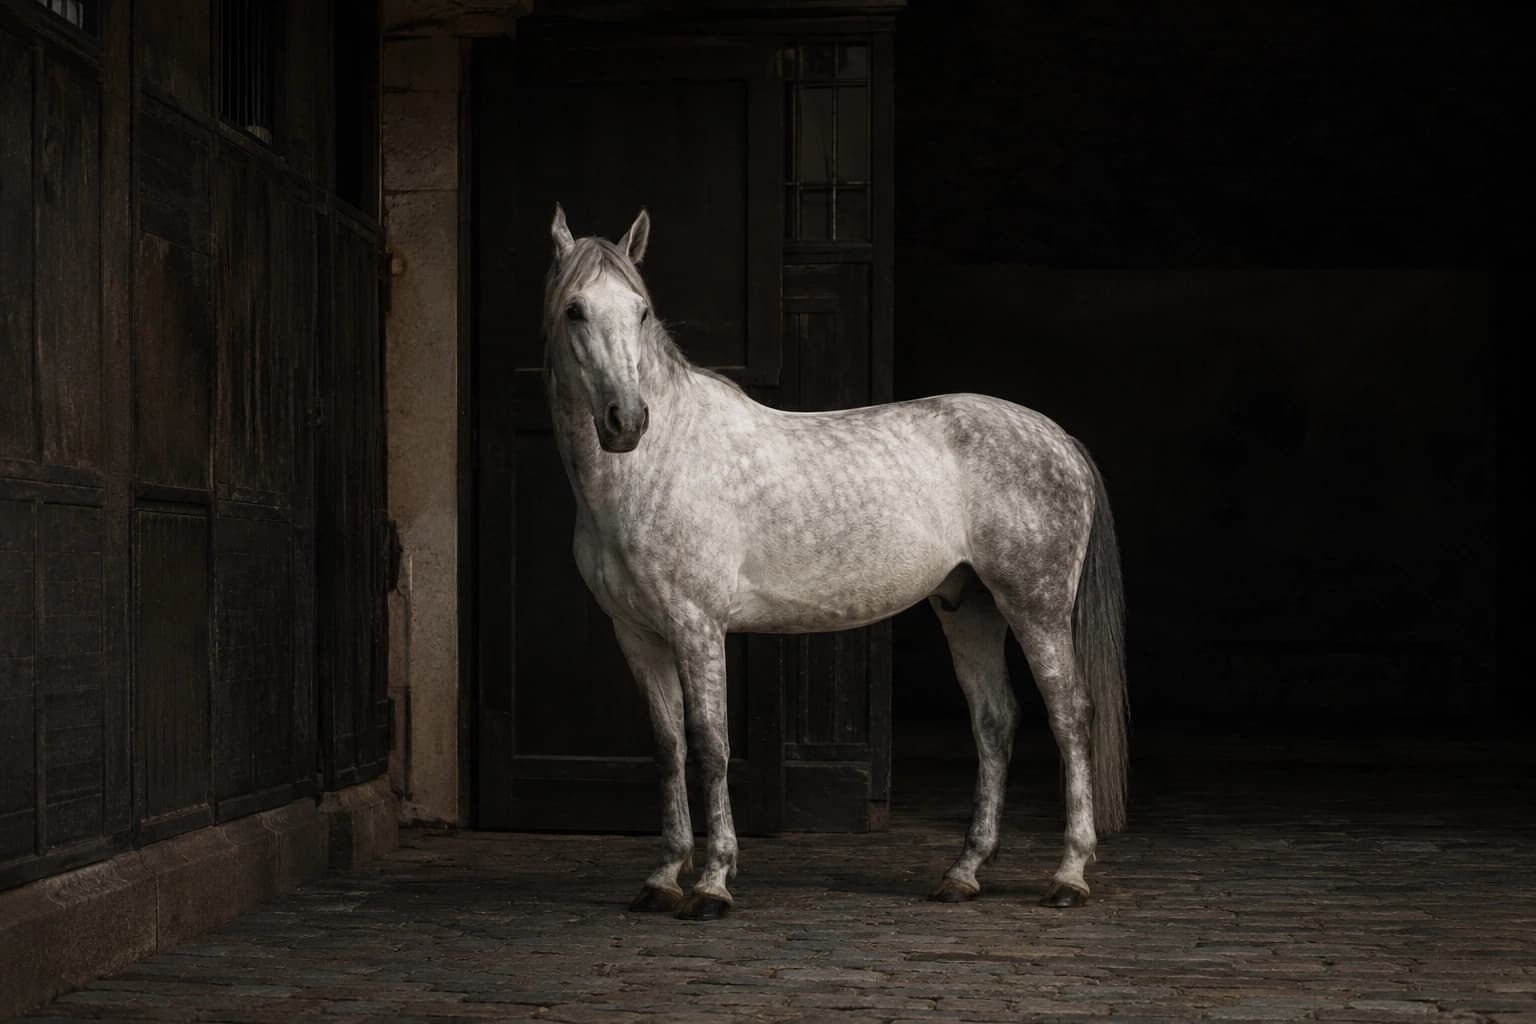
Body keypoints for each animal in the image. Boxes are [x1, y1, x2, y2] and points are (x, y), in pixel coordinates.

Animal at [542, 205, 1128, 920]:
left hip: (1035, 604)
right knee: (995, 722)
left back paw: (1069, 874)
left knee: (1070, 715)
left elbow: (710, 744)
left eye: (642, 311)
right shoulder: (637, 633)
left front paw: (712, 883)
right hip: (969, 606)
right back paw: (962, 872)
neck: (655, 465)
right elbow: (669, 746)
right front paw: (663, 878)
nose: (626, 421)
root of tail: (1059, 438)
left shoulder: (696, 625)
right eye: (575, 310)